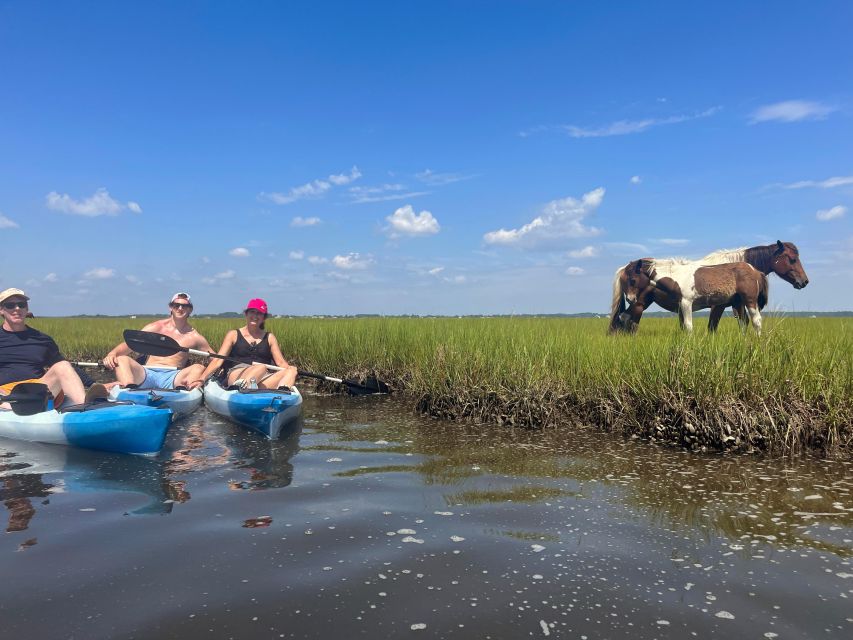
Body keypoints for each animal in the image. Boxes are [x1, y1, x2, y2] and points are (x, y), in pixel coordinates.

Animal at [616, 260, 768, 336]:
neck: (677, 278)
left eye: (632, 280)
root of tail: (756, 271)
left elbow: (688, 326)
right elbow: (684, 325)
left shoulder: (686, 302)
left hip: (749, 300)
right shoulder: (681, 305)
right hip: (738, 302)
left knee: (756, 321)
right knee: (743, 323)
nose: (630, 299)